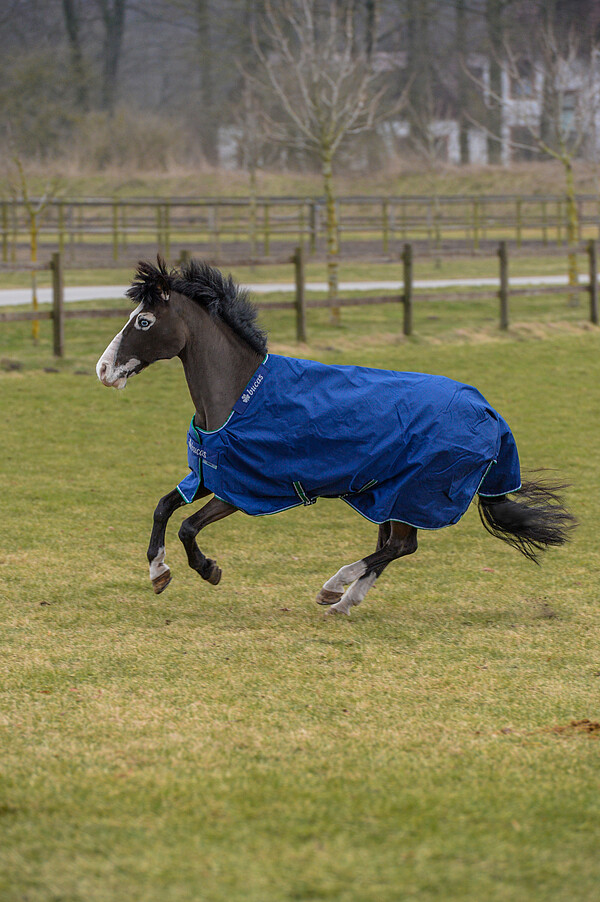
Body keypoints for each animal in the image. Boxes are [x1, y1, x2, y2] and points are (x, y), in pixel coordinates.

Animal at [96, 258, 575, 615]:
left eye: (143, 321)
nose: (103, 370)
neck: (241, 395)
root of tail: (489, 413)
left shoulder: (243, 490)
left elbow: (188, 528)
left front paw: (208, 569)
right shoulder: (210, 475)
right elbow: (163, 508)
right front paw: (158, 573)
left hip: (415, 492)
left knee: (401, 544)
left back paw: (335, 585)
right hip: (390, 493)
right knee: (395, 546)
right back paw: (344, 601)